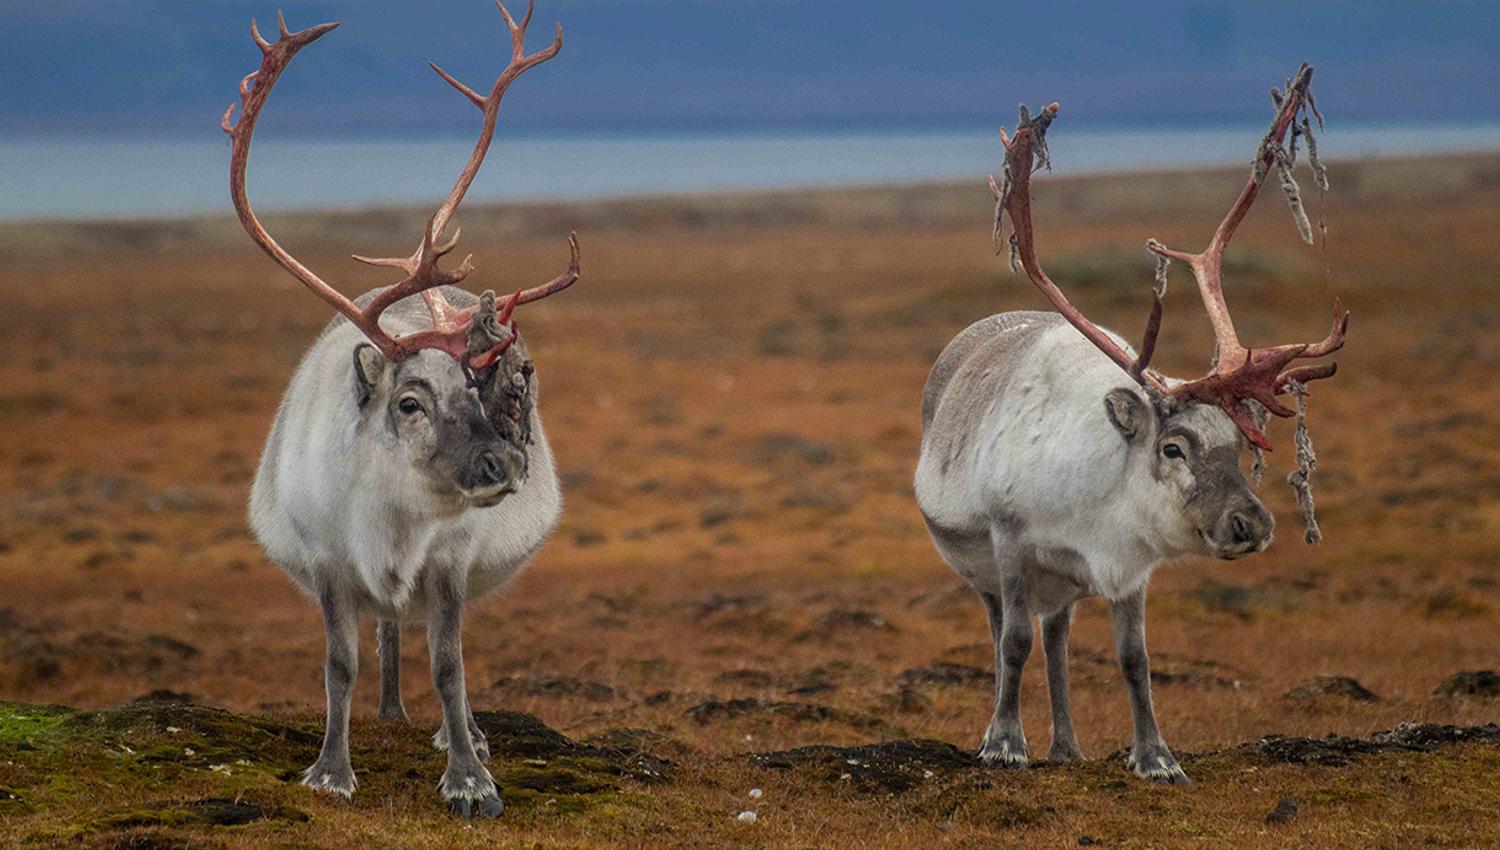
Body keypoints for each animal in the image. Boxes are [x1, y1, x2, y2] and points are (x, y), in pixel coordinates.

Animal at [222, 2, 579, 818]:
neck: (390, 519)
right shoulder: (326, 561)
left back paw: (461, 733)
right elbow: (339, 664)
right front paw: (331, 770)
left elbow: (450, 664)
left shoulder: (450, 562)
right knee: (385, 635)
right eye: (409, 400)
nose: (506, 462)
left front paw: (470, 779)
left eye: (481, 384)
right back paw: (389, 714)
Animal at [915, 65, 1347, 783]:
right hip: (985, 567)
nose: (1252, 525)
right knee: (1008, 631)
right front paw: (1003, 744)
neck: (1097, 496)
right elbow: (1013, 643)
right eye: (1173, 448)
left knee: (1058, 639)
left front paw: (1156, 758)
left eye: (1241, 444)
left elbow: (1133, 659)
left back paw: (1066, 745)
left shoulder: (1129, 565)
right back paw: (1015, 732)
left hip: (1062, 586)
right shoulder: (1010, 541)